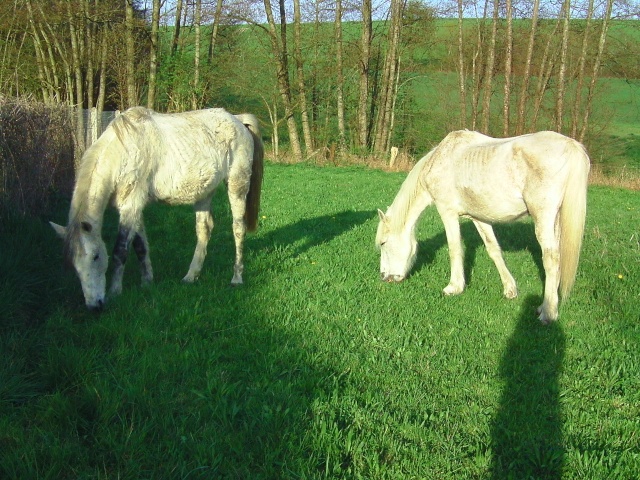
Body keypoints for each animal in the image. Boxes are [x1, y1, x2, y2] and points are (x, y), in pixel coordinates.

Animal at [49, 106, 264, 312]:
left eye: (95, 256)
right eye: (74, 264)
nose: (95, 307)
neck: (123, 151)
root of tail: (238, 121)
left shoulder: (130, 206)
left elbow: (120, 250)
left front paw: (115, 292)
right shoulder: (134, 208)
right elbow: (140, 246)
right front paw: (147, 283)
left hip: (237, 184)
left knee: (238, 229)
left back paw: (236, 278)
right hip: (205, 191)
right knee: (204, 229)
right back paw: (190, 276)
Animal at [376, 130, 592, 322]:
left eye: (383, 243)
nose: (385, 277)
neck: (441, 159)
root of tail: (571, 145)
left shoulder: (447, 211)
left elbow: (454, 248)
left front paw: (454, 287)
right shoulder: (479, 217)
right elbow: (493, 250)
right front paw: (510, 290)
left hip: (543, 217)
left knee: (551, 259)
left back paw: (548, 312)